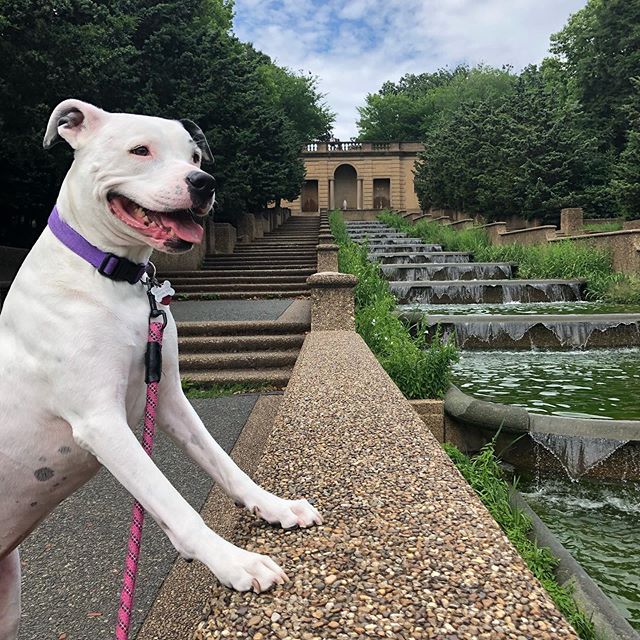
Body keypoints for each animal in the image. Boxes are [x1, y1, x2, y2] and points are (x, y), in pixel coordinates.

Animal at [0, 100, 320, 640]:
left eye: (194, 155)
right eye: (140, 150)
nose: (205, 182)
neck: (112, 277)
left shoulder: (168, 397)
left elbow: (224, 463)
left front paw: (274, 507)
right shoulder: (101, 423)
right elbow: (171, 502)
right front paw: (233, 560)